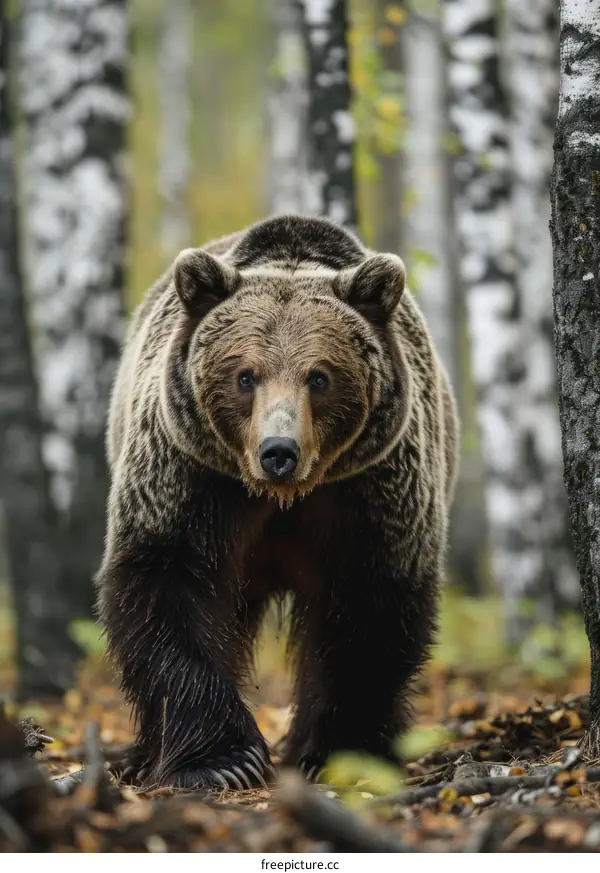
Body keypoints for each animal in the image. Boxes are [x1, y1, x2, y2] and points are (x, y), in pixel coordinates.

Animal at [96, 214, 459, 790]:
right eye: (245, 376)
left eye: (319, 376)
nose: (279, 452)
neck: (284, 498)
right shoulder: (193, 477)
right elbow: (165, 588)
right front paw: (225, 761)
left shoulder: (370, 489)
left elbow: (370, 608)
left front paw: (338, 751)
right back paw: (141, 758)